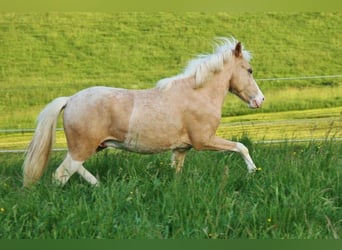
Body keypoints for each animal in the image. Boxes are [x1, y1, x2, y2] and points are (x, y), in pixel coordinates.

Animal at [22, 38, 264, 187]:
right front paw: (253, 172)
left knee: (74, 168)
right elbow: (241, 147)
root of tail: (70, 100)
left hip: (88, 147)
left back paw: (99, 185)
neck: (198, 94)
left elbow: (177, 171)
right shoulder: (204, 140)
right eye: (249, 70)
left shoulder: (181, 149)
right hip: (83, 148)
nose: (260, 100)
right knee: (60, 174)